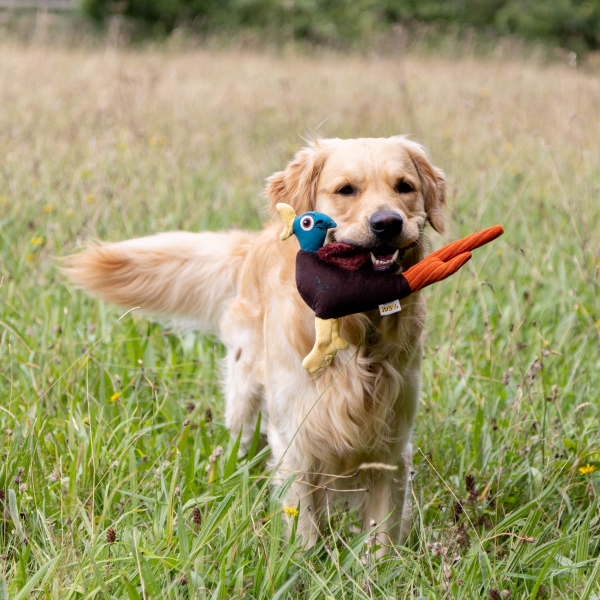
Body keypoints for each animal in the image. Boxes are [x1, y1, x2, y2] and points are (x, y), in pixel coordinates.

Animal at [67, 135, 446, 552]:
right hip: (244, 396)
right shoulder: (296, 439)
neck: (357, 330)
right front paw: (303, 561)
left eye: (404, 187)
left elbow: (382, 534)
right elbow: (303, 524)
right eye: (346, 189)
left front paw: (376, 564)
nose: (387, 222)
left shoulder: (391, 445)